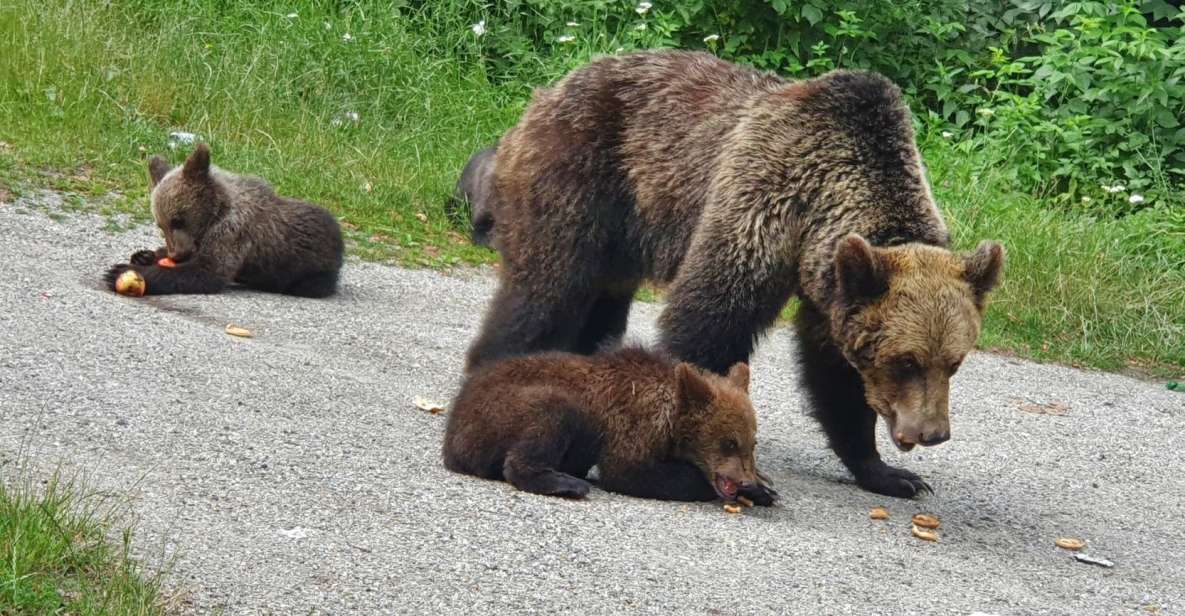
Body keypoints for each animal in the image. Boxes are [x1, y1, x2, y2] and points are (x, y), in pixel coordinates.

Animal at [466, 50, 1004, 497]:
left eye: (954, 362)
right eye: (907, 361)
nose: (932, 433)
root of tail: (552, 87)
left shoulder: (832, 288)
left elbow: (835, 375)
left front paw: (891, 474)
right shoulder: (763, 203)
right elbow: (708, 323)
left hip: (623, 230)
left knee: (600, 309)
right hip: (581, 172)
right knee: (547, 291)